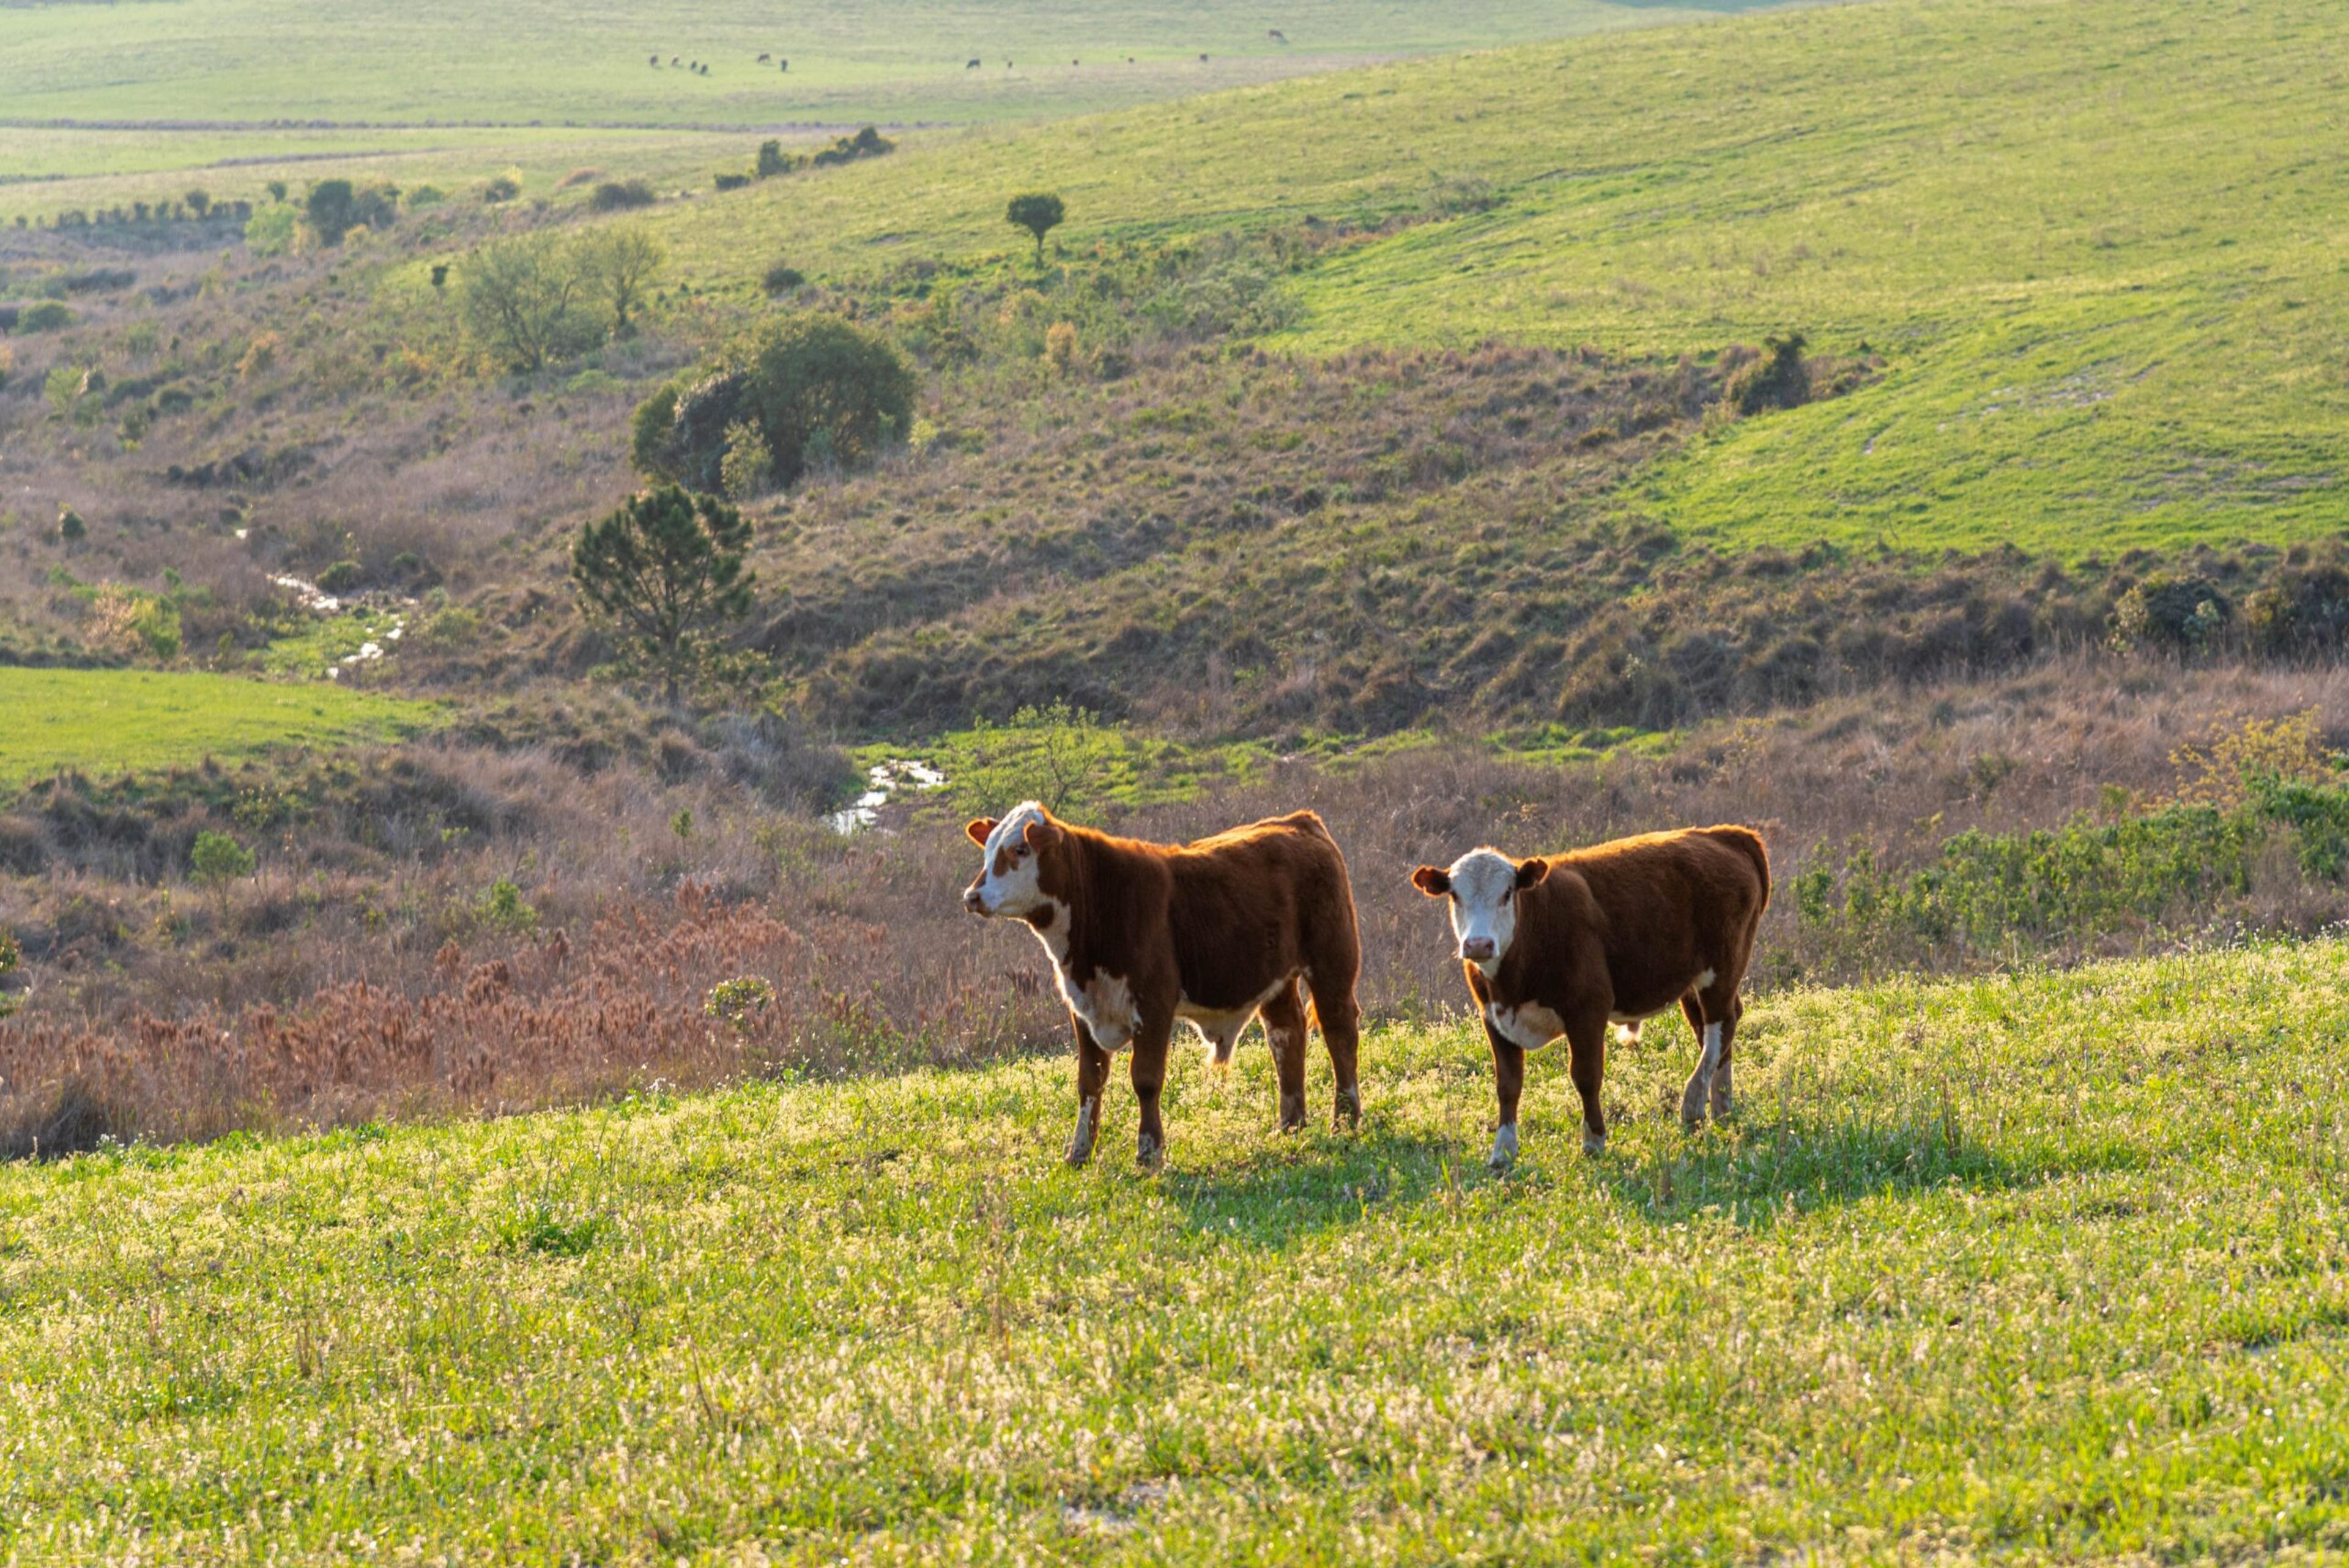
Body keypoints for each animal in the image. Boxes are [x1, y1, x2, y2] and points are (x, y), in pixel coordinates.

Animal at [965, 801, 1365, 1169]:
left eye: (1020, 849)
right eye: (988, 849)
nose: (972, 896)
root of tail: (1300, 821)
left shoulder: (1154, 1005)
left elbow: (1146, 1079)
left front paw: (1148, 1153)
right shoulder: (1083, 1009)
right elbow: (1089, 1081)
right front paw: (1078, 1153)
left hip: (1332, 961)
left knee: (1339, 1030)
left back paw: (1345, 1120)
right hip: (1276, 978)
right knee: (1286, 1035)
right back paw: (1290, 1125)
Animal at [1412, 826, 1769, 1170]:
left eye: (1507, 893)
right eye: (1455, 895)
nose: (1478, 945)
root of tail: (1725, 834)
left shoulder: (1588, 1009)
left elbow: (1586, 1075)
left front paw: (1594, 1140)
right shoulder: (1494, 1017)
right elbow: (1508, 1085)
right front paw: (1503, 1151)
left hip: (1722, 969)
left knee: (1720, 1026)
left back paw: (1694, 1103)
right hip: (1692, 982)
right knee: (1713, 1032)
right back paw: (1721, 1106)